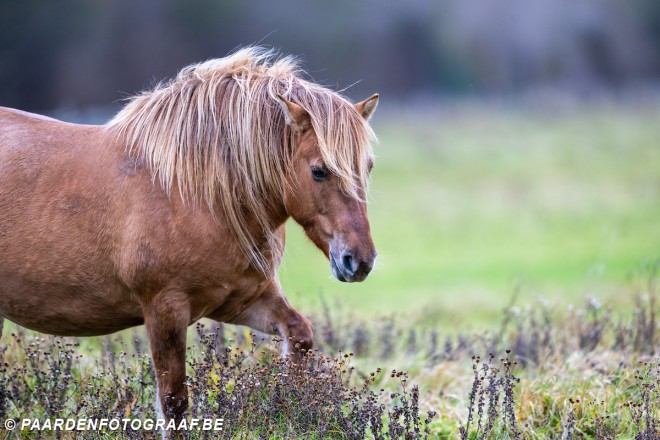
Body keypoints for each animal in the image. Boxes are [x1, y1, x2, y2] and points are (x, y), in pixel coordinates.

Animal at [0, 47, 378, 432]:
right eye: (319, 171)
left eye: (368, 167)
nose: (359, 261)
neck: (195, 192)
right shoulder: (164, 311)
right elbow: (174, 402)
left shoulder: (242, 300)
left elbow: (299, 335)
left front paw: (288, 404)